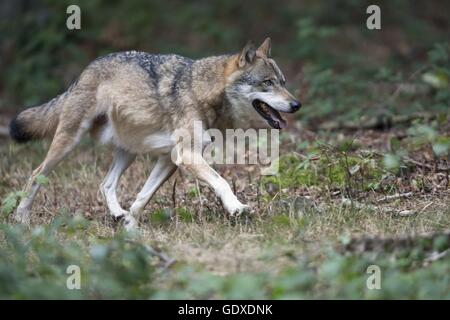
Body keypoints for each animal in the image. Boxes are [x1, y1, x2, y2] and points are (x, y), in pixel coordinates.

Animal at [8, 38, 300, 231]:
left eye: (283, 83)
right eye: (268, 83)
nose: (296, 104)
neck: (202, 92)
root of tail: (87, 69)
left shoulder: (169, 159)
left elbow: (142, 197)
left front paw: (130, 226)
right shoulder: (186, 156)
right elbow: (222, 182)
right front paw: (236, 208)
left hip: (128, 153)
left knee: (105, 183)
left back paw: (117, 215)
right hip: (69, 142)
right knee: (36, 174)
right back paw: (21, 218)